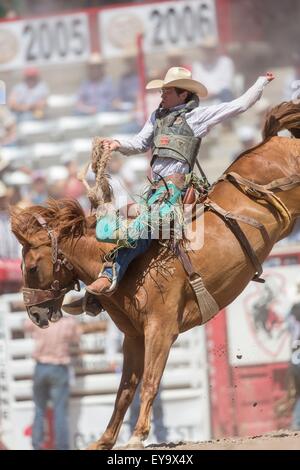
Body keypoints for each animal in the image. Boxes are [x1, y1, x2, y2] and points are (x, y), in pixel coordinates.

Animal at [10, 102, 300, 448]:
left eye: (30, 267)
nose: (34, 313)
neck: (125, 266)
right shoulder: (133, 337)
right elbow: (124, 392)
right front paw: (104, 440)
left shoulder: (160, 330)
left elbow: (149, 381)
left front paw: (137, 436)